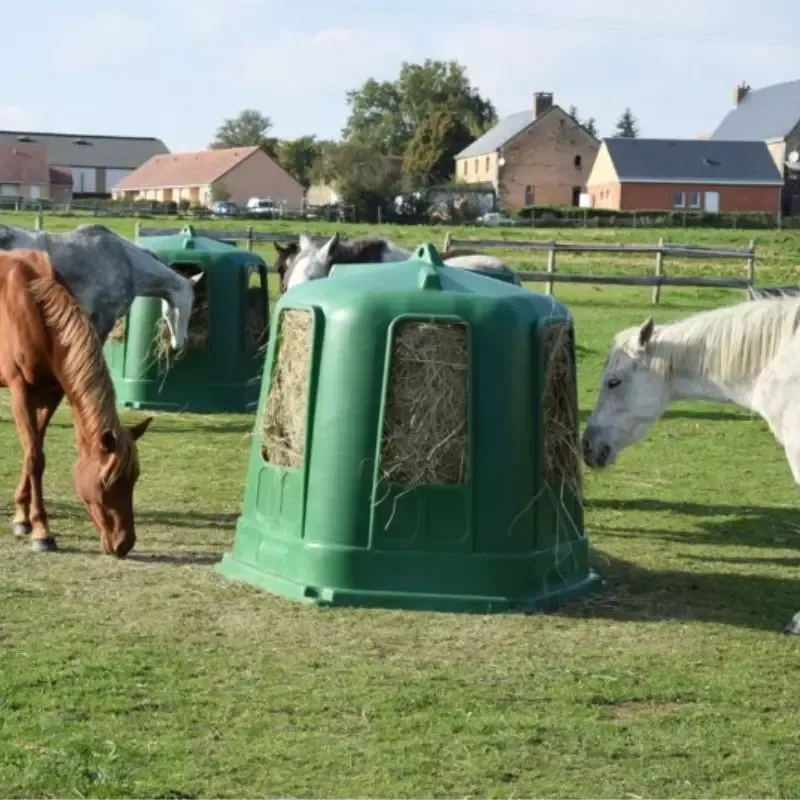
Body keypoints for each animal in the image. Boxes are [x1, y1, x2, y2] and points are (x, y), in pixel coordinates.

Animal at [0, 248, 152, 556]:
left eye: (134, 478)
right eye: (107, 481)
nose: (124, 543)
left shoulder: (50, 395)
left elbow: (33, 449)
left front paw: (22, 518)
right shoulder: (20, 390)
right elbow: (35, 458)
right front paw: (42, 532)